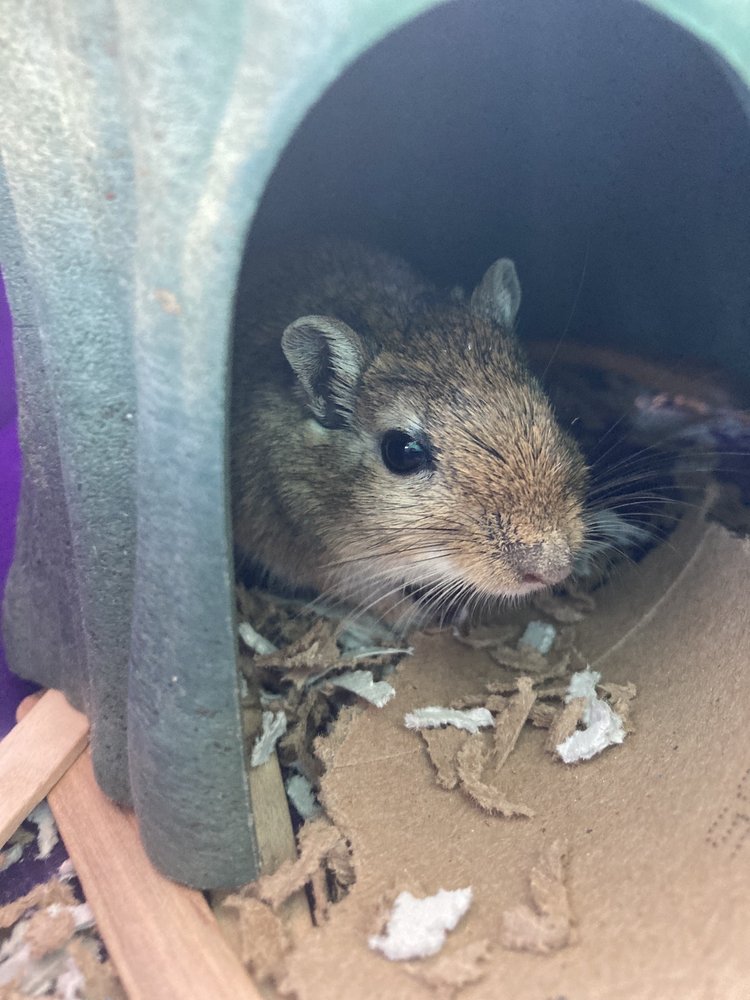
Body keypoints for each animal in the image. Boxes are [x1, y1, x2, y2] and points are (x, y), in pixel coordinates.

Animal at [231, 238, 588, 628]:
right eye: (402, 453)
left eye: (546, 405)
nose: (555, 570)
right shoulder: (313, 555)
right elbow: (374, 595)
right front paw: (422, 619)